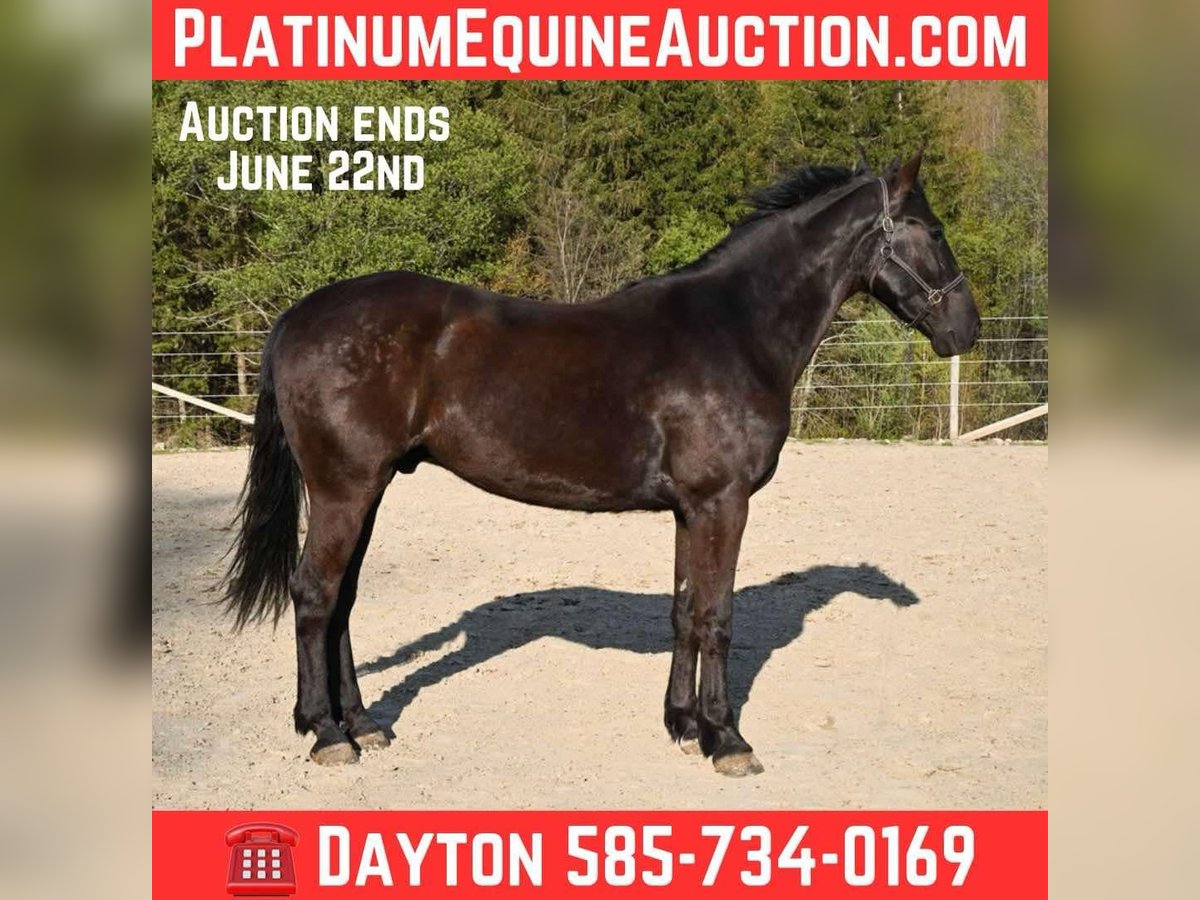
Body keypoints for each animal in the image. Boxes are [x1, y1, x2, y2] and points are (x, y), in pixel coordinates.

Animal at [221, 149, 980, 776]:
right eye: (934, 231)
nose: (965, 329)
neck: (736, 329)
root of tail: (297, 317)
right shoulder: (724, 502)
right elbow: (718, 616)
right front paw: (727, 740)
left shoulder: (691, 509)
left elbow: (684, 611)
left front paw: (683, 726)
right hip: (345, 488)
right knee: (316, 595)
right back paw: (326, 734)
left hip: (366, 489)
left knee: (342, 600)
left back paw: (363, 724)